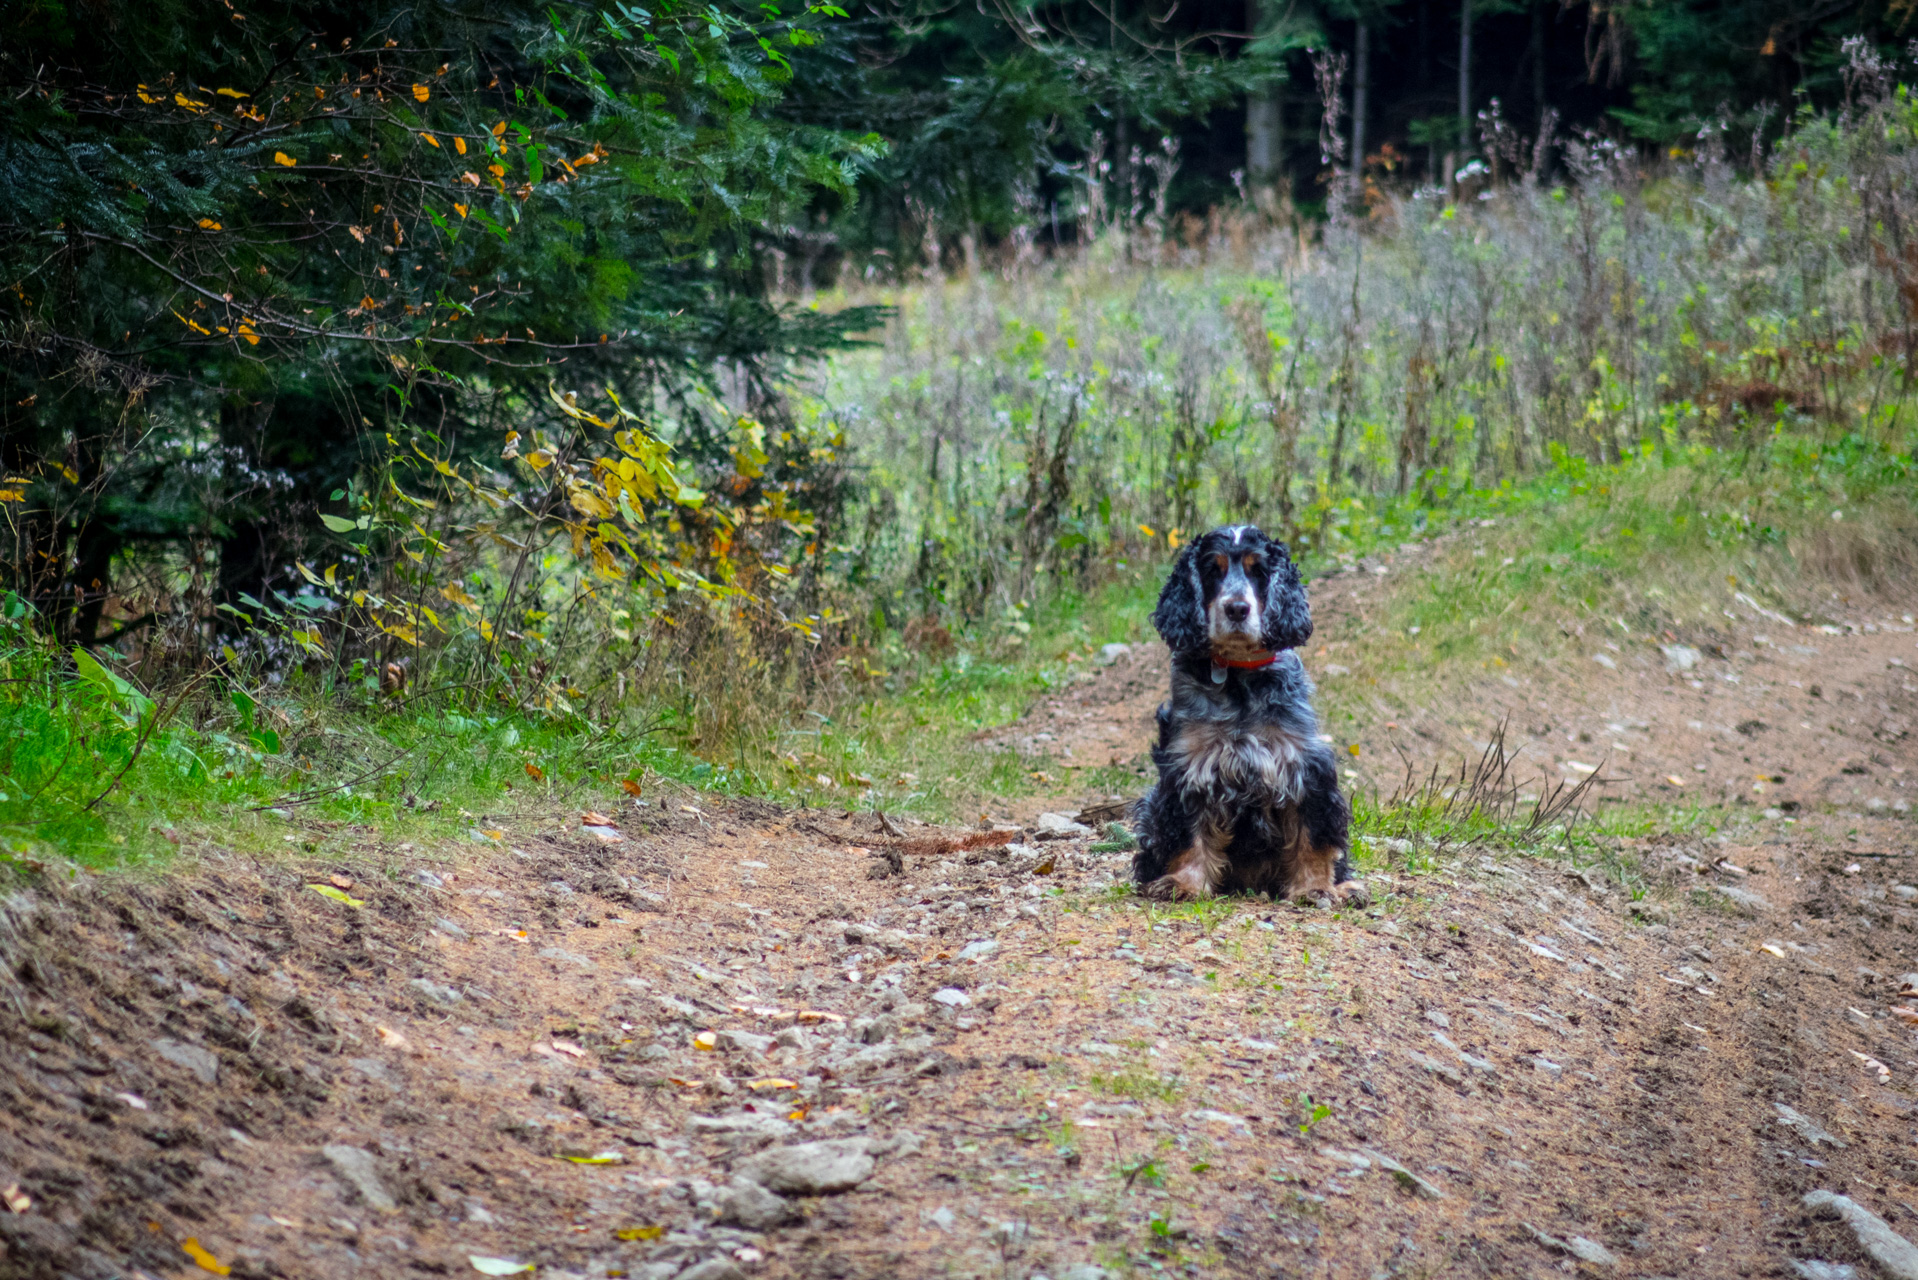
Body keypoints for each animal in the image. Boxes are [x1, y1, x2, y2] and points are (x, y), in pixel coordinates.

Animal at [1127, 525, 1373, 905]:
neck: (1238, 675)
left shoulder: (1305, 767)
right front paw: (1184, 883)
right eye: (1212, 570)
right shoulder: (1189, 769)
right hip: (1153, 805)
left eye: (1259, 571)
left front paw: (1315, 887)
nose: (1237, 609)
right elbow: (1188, 835)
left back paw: (1346, 887)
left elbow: (1314, 837)